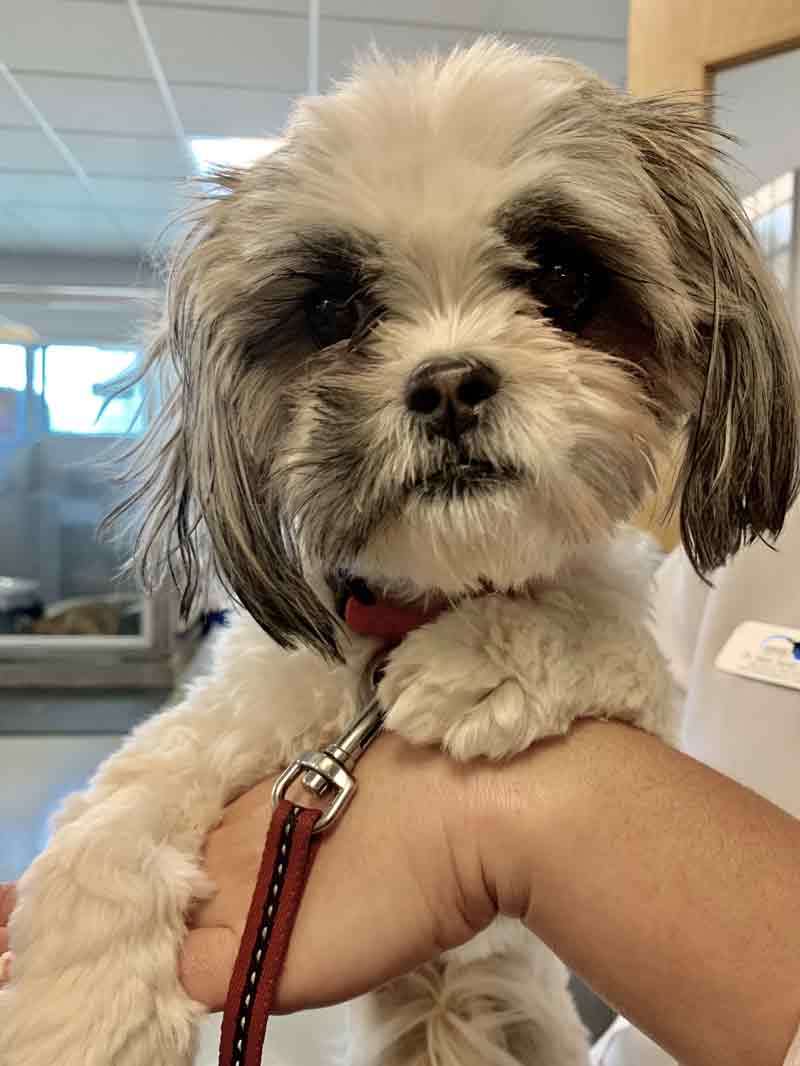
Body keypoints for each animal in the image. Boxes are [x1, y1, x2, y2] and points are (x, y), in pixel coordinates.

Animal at [2, 38, 798, 1066]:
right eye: (334, 307)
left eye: (564, 275)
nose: (449, 382)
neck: (416, 605)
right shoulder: (245, 707)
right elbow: (115, 818)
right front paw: (82, 1009)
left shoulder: (646, 704)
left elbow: (586, 621)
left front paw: (485, 659)